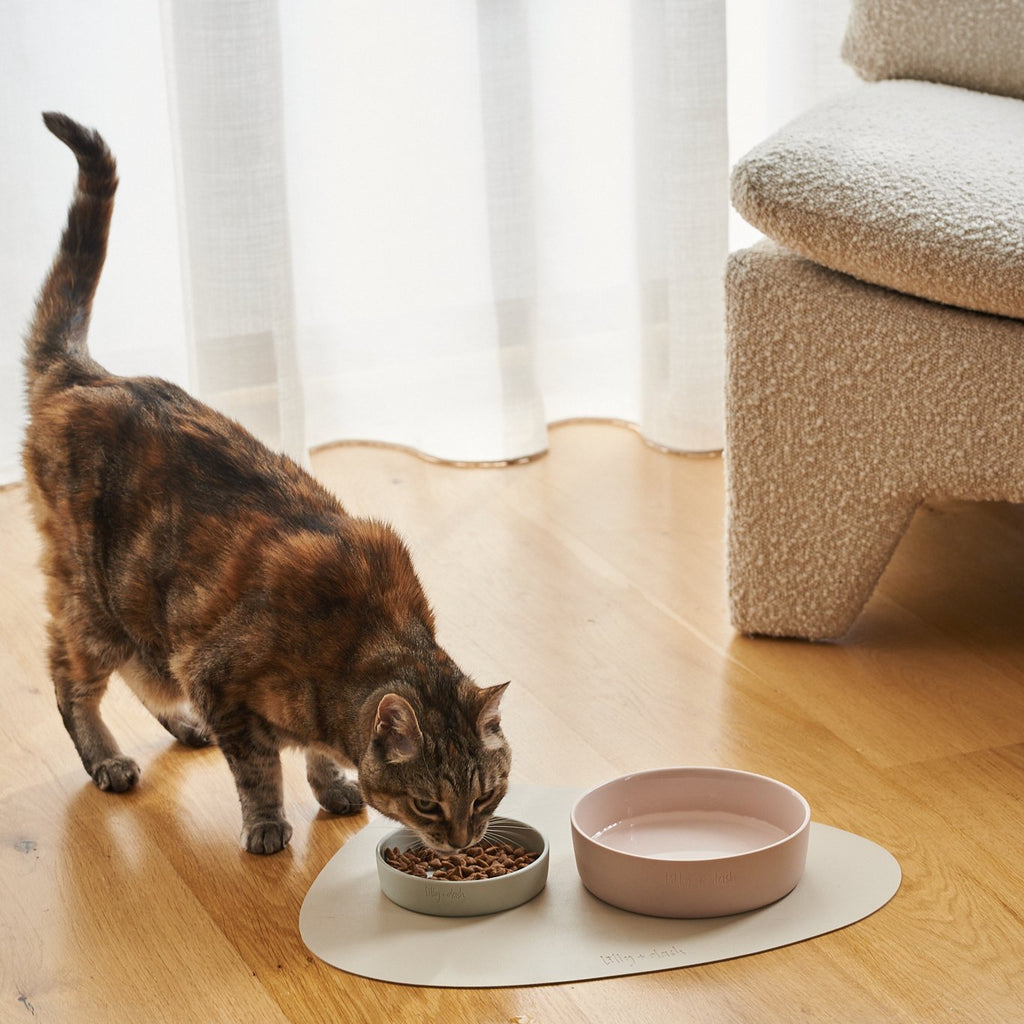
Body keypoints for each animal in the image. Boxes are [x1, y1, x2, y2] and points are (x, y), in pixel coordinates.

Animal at [24, 112, 516, 851]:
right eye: (429, 805)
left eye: (486, 795)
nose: (463, 844)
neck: (359, 640)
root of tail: (84, 372)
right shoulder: (216, 676)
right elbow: (259, 769)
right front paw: (267, 826)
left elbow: (311, 753)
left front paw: (332, 786)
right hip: (93, 604)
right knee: (70, 683)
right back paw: (107, 759)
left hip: (144, 617)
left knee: (146, 673)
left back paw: (182, 726)